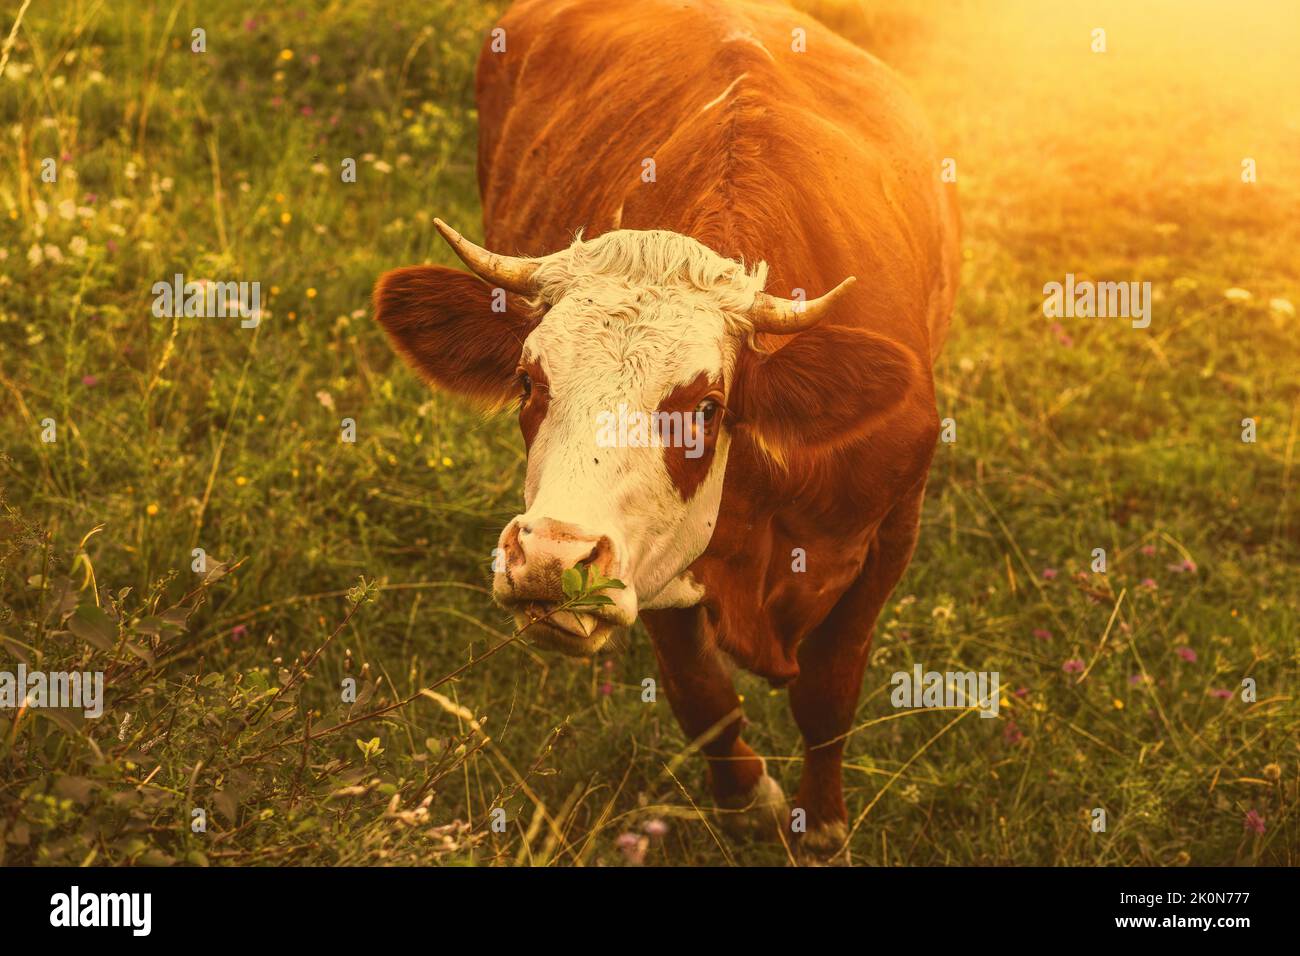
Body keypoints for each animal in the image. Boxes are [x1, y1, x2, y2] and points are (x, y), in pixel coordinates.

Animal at [373, 0, 959, 860]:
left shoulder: (894, 527)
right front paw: (747, 800)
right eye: (528, 381)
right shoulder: (652, 562)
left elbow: (828, 692)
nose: (549, 559)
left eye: (706, 407)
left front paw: (820, 827)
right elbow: (700, 689)